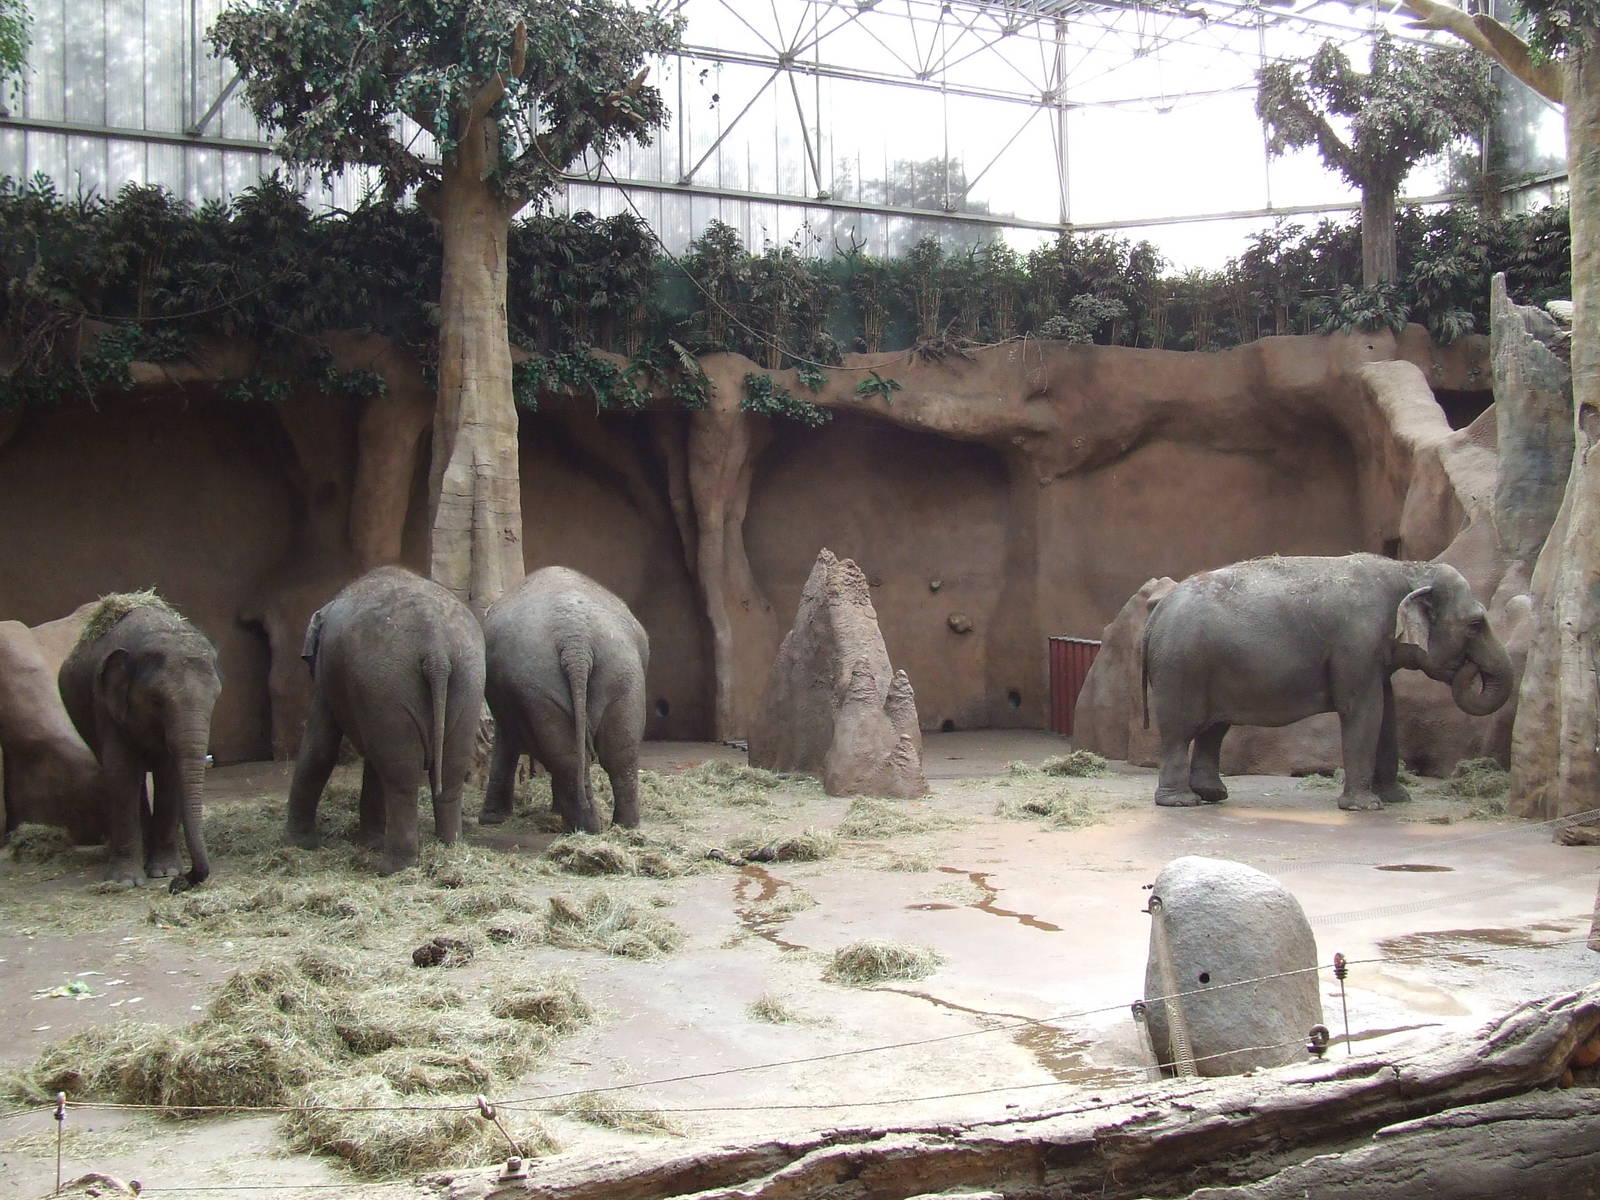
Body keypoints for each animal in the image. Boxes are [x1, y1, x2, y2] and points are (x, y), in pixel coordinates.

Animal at [58, 597, 222, 888]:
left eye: (215, 698)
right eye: (156, 701)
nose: (181, 882)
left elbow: (169, 773)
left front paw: (165, 872)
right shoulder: (105, 704)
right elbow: (120, 771)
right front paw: (125, 882)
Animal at [286, 566, 486, 874]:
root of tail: (436, 650)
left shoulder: (327, 677)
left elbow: (320, 747)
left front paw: (298, 844)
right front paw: (370, 842)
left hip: (389, 683)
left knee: (401, 778)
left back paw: (392, 867)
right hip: (467, 681)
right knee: (450, 768)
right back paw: (450, 848)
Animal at [479, 567, 649, 835]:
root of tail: (575, 640)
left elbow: (505, 743)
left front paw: (491, 820)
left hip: (542, 680)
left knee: (569, 757)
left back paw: (583, 828)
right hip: (620, 673)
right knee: (618, 753)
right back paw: (620, 826)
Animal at [1141, 553, 1513, 811]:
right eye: (1476, 624)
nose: (1468, 668)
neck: (1409, 569)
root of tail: (1155, 614)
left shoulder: (1373, 656)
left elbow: (1387, 710)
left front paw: (1397, 798)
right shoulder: (1356, 644)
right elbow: (1364, 710)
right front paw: (1366, 807)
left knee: (1213, 729)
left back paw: (1212, 794)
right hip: (1181, 667)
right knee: (1180, 730)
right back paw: (1182, 801)